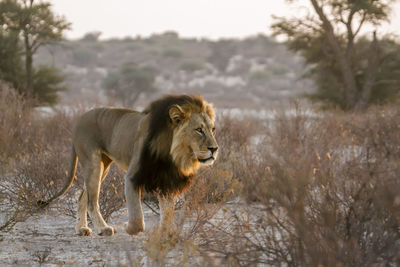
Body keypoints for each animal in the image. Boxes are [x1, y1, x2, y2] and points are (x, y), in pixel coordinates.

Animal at [42, 94, 219, 237]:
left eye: (213, 129)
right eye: (198, 130)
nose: (215, 149)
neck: (174, 154)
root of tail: (80, 118)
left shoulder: (166, 181)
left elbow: (167, 213)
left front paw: (166, 234)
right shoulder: (133, 176)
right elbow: (137, 217)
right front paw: (129, 228)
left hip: (103, 166)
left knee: (82, 196)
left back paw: (81, 229)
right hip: (93, 163)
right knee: (92, 201)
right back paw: (103, 229)